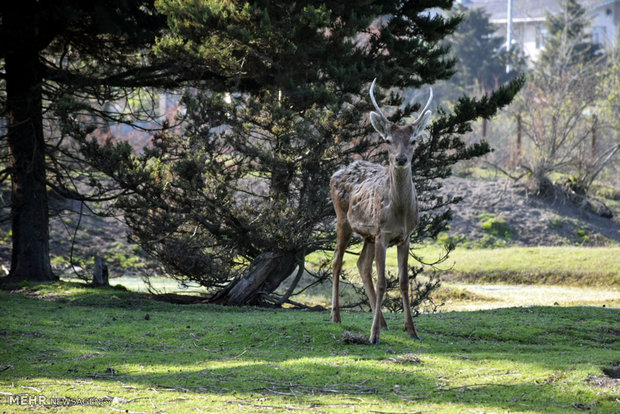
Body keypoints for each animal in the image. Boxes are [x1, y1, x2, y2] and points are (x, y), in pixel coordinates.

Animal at [330, 79, 432, 344]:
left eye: (413, 140)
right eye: (387, 140)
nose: (401, 159)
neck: (400, 213)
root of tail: (336, 172)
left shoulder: (405, 236)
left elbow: (404, 282)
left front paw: (412, 330)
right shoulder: (383, 234)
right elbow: (384, 282)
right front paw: (373, 335)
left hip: (368, 234)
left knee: (361, 265)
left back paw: (384, 323)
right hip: (343, 220)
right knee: (337, 261)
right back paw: (336, 316)